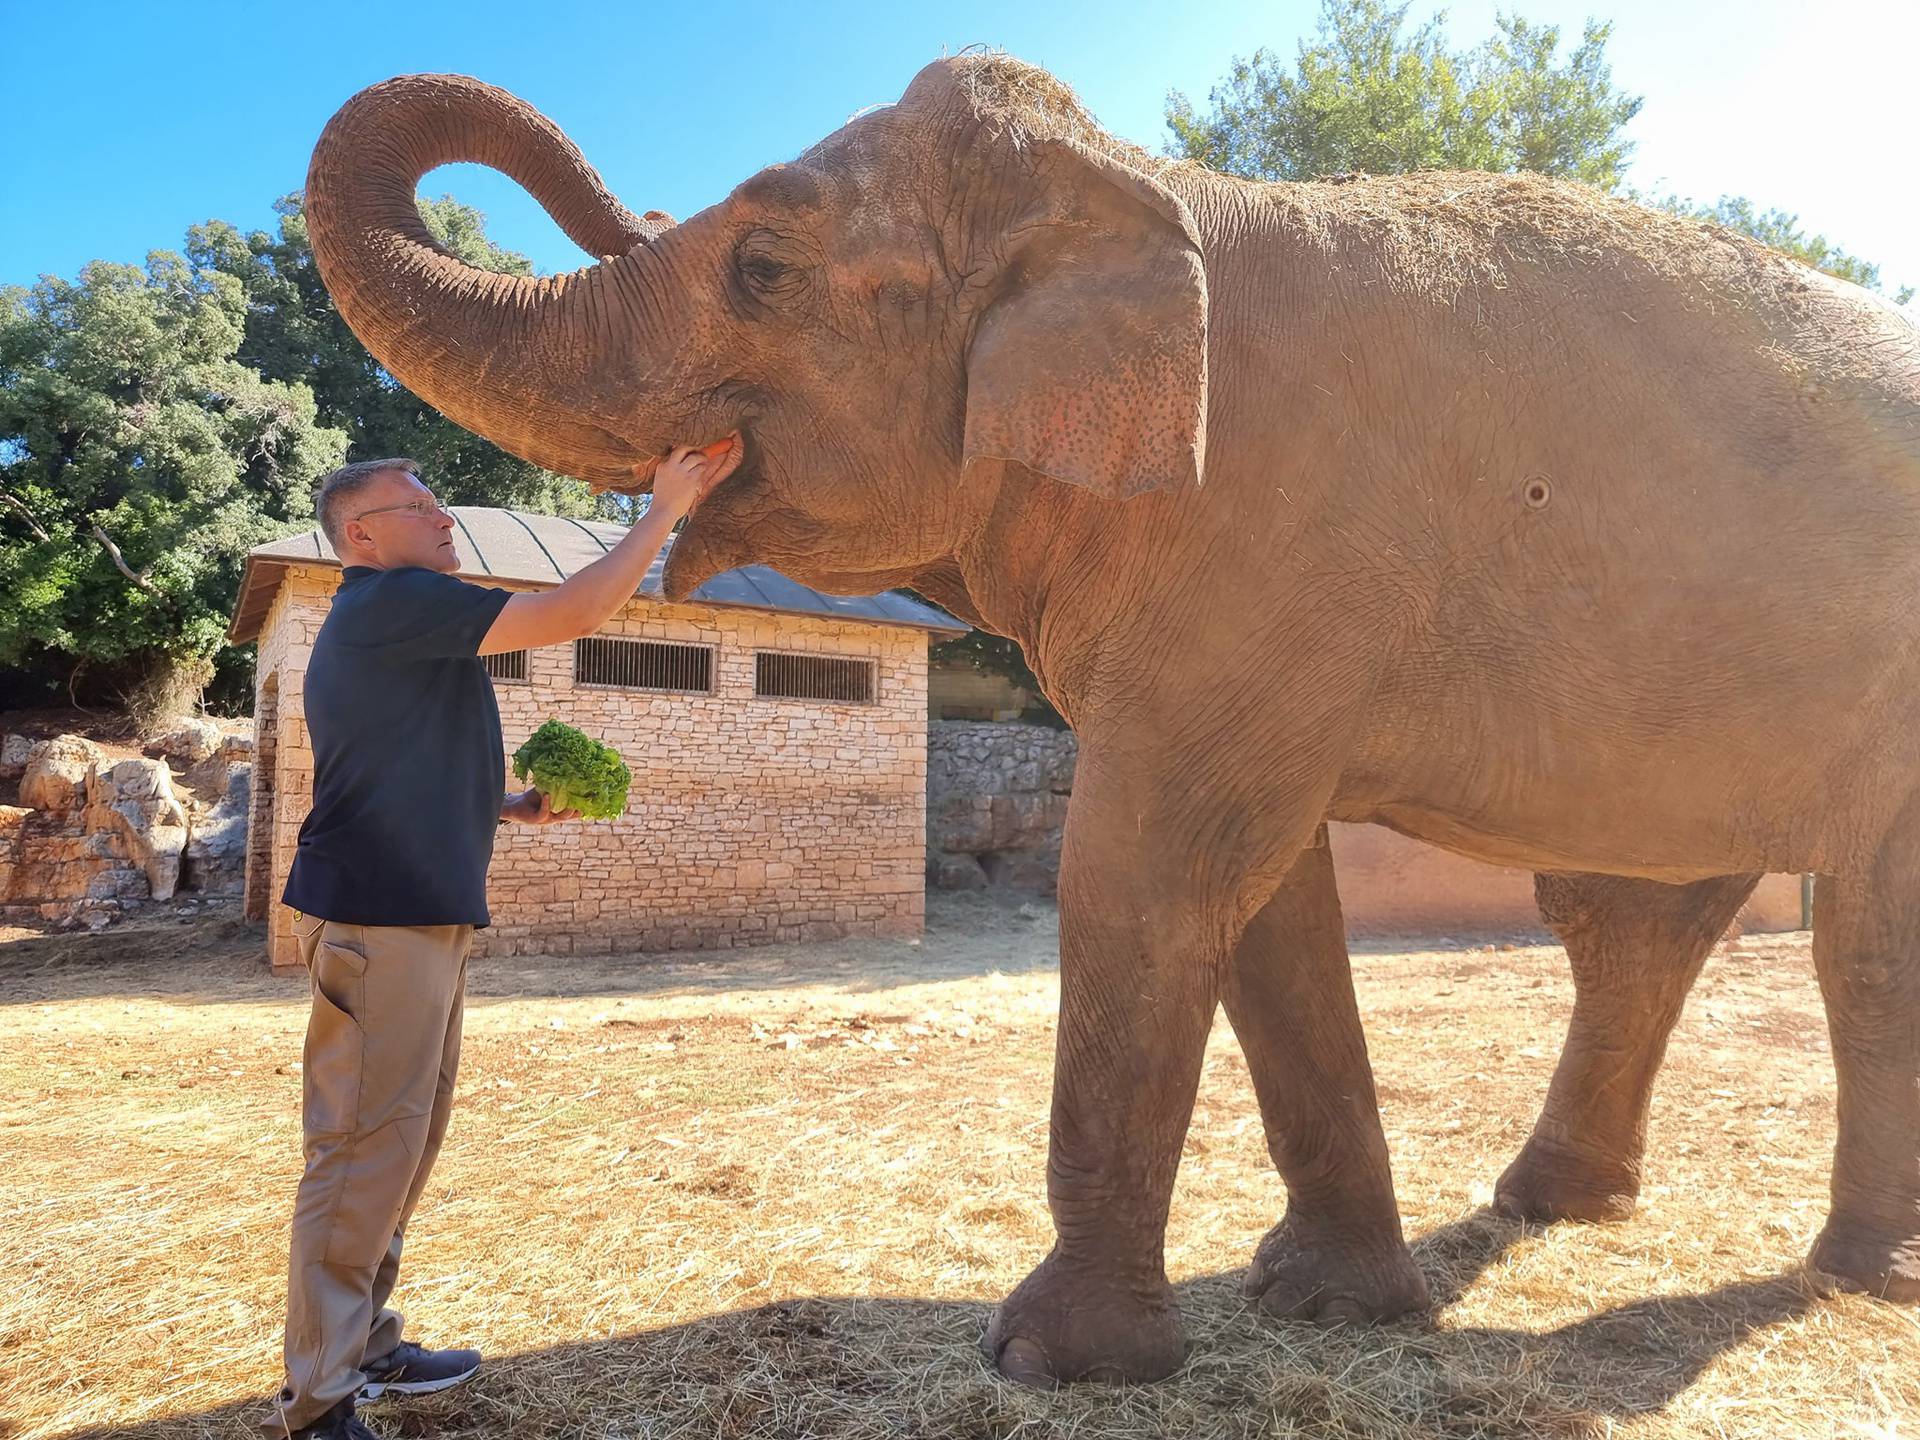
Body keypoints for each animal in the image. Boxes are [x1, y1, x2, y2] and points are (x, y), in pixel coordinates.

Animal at [307, 53, 1920, 1390]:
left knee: (1856, 940)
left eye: (765, 266)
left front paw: (1049, 1362)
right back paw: (1558, 1205)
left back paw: (1864, 1280)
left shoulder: (1263, 557)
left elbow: (1146, 880)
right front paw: (1322, 1306)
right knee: (1636, 916)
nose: (619, 188)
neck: (1148, 188)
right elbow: (1262, 907)